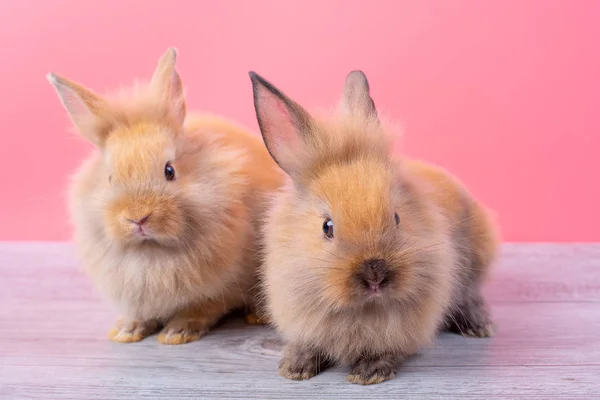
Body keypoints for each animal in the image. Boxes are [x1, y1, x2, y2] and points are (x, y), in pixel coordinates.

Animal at [46, 47, 282, 344]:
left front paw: (177, 332)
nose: (138, 218)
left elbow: (203, 307)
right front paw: (126, 331)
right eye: (110, 177)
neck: (151, 252)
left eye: (169, 171)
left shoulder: (222, 286)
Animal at [250, 70, 502, 386]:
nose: (375, 275)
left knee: (472, 297)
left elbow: (386, 349)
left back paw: (479, 328)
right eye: (327, 227)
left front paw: (368, 373)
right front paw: (294, 368)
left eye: (396, 217)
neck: (362, 309)